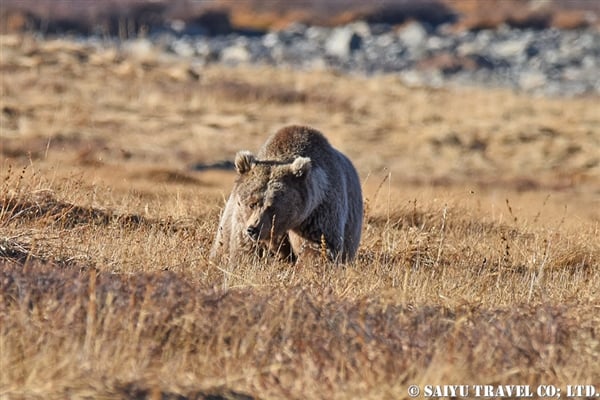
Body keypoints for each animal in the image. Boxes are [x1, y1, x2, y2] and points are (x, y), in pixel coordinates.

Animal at [209, 124, 364, 262]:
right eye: (252, 204)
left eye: (272, 207)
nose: (253, 229)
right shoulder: (242, 221)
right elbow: (245, 250)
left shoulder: (317, 211)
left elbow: (317, 247)